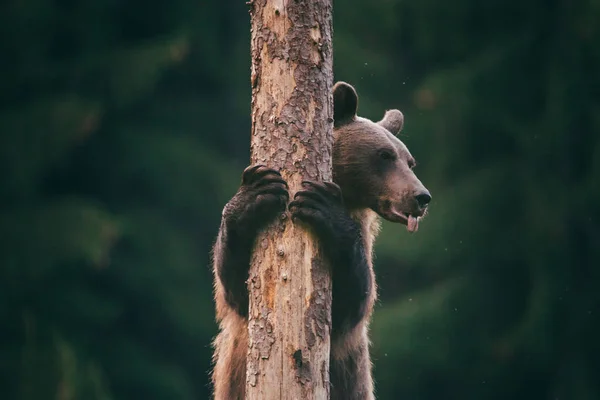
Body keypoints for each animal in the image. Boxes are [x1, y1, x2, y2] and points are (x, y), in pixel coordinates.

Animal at [211, 82, 432, 400]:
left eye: (409, 160)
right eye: (385, 155)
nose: (421, 197)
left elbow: (353, 302)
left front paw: (321, 205)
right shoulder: (238, 311)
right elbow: (235, 288)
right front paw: (257, 190)